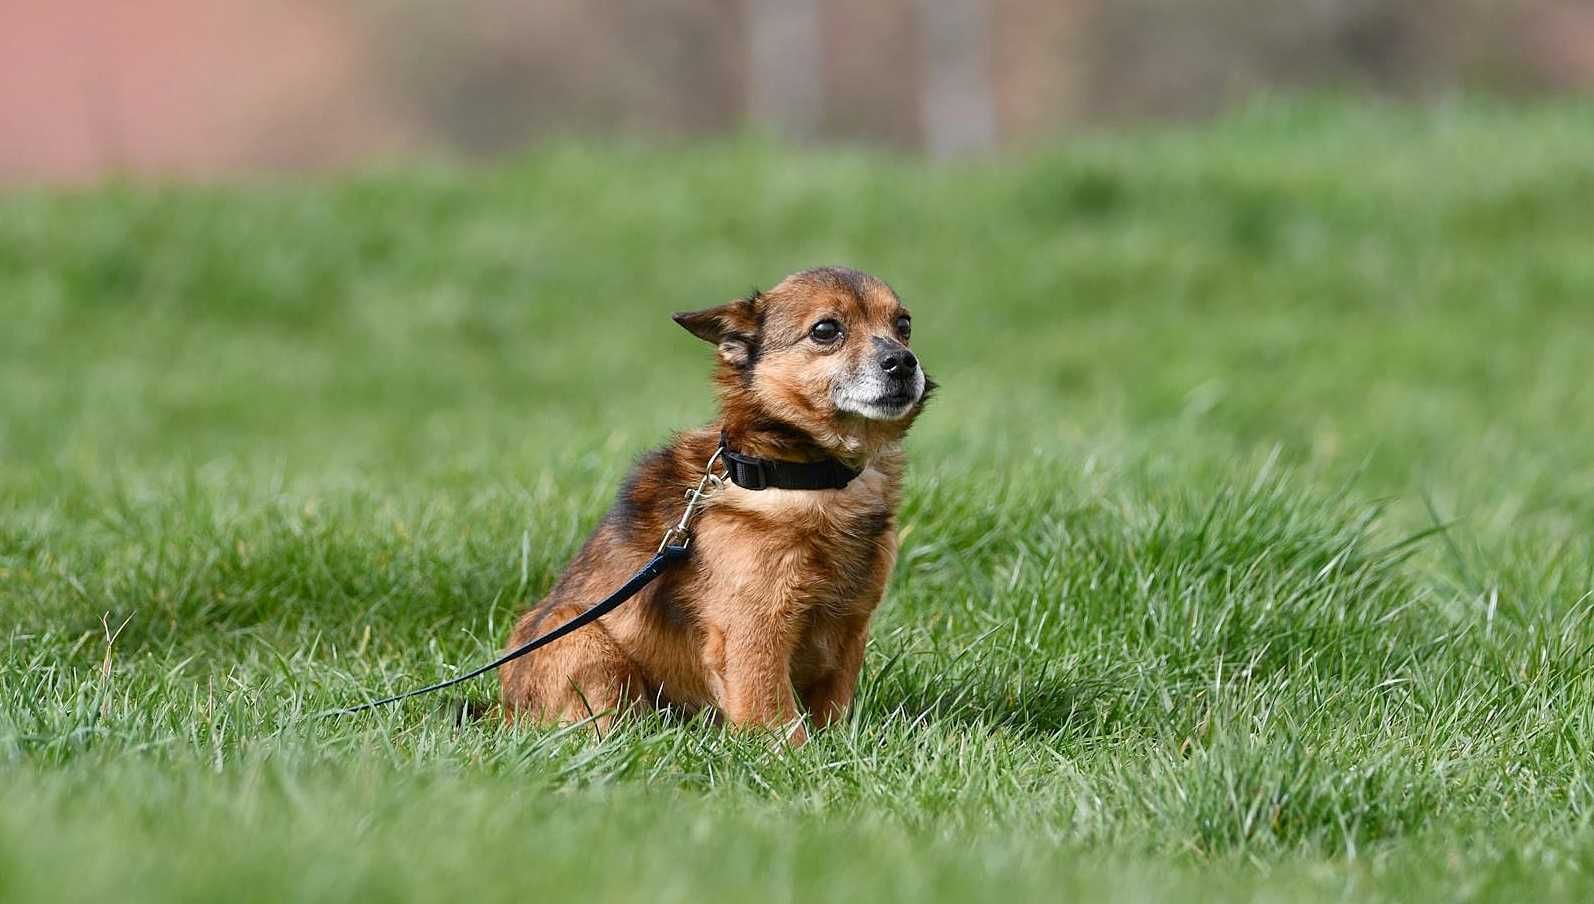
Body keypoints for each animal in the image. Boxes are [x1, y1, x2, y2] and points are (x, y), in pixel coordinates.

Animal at [490, 264, 930, 746]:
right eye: (826, 330)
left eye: (904, 325)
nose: (903, 361)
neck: (811, 477)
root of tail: (500, 713)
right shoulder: (753, 632)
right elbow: (775, 718)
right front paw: (793, 755)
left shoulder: (849, 628)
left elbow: (832, 711)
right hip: (581, 637)